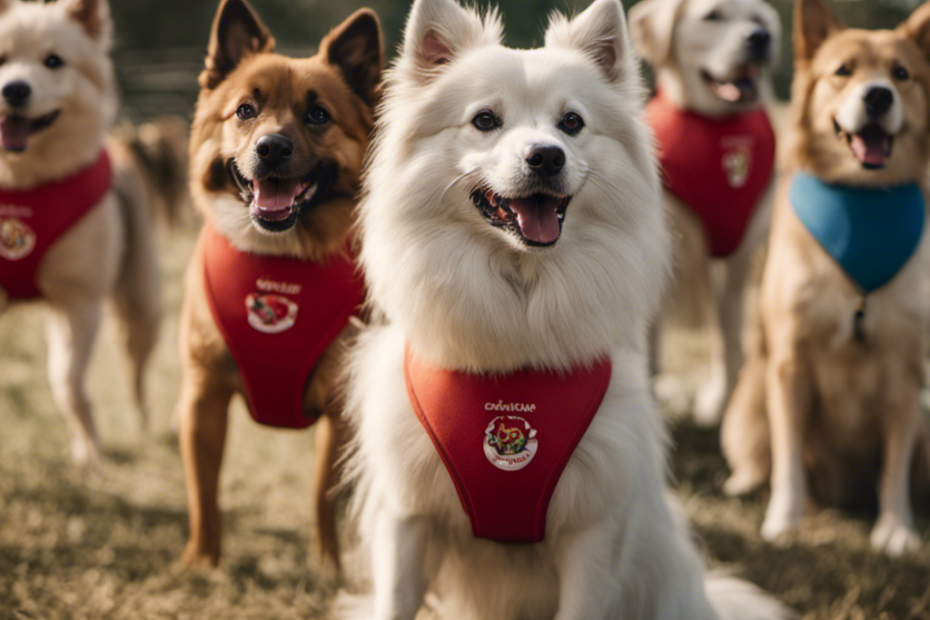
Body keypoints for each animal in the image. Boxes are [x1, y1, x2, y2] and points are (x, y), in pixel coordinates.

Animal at [0, 0, 174, 462]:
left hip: (142, 301)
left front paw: (90, 451)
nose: (13, 90)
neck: (23, 183)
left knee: (135, 371)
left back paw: (140, 423)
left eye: (53, 61)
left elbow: (68, 382)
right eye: (2, 57)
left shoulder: (80, 301)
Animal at [178, 0, 380, 572]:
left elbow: (322, 496)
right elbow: (204, 496)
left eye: (318, 115)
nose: (271, 148)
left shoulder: (340, 411)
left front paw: (328, 567)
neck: (280, 258)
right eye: (246, 110)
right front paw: (200, 564)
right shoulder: (202, 398)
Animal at [632, 0, 784, 424]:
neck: (718, 126)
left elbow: (726, 333)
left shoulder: (736, 253)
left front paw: (722, 399)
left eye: (759, 21)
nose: (761, 38)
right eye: (712, 16)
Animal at [720, 0, 928, 556]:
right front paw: (785, 520)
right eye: (843, 72)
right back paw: (748, 484)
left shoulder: (906, 369)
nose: (878, 96)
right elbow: (789, 456)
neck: (862, 200)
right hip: (751, 391)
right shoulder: (791, 361)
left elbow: (895, 466)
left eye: (901, 75)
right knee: (760, 453)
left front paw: (896, 528)